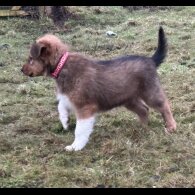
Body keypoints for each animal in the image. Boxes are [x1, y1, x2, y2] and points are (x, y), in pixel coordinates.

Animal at [21, 26, 177, 151]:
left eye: (31, 59)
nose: (21, 70)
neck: (62, 65)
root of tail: (151, 60)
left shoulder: (85, 107)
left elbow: (80, 130)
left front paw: (75, 146)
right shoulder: (70, 98)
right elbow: (61, 106)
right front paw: (65, 121)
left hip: (150, 92)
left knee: (164, 106)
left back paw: (171, 127)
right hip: (128, 99)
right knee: (144, 110)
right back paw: (142, 127)